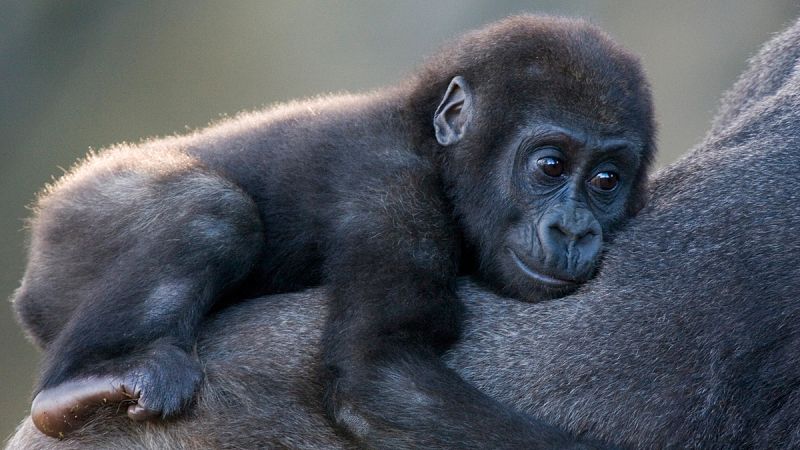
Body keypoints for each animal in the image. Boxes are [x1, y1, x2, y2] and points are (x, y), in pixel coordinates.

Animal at [8, 15, 800, 449]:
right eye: (549, 166)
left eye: (606, 181)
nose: (573, 228)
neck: (430, 138)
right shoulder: (393, 187)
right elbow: (377, 370)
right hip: (76, 221)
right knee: (209, 213)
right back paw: (87, 380)